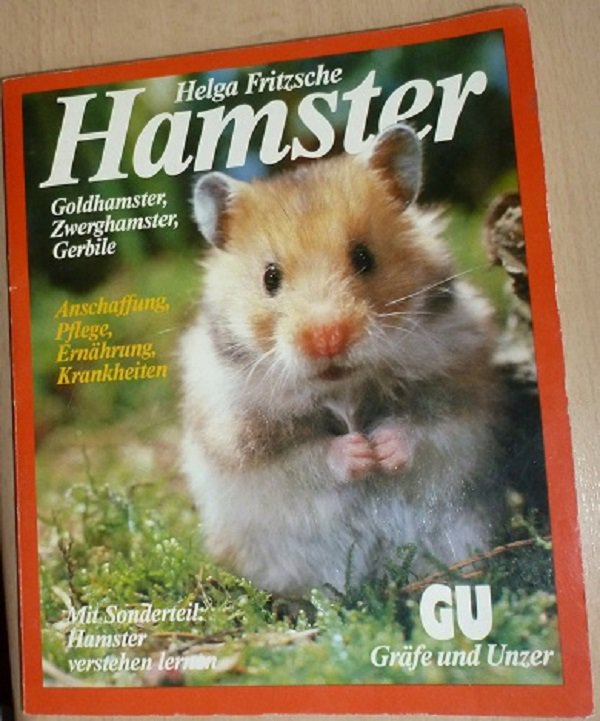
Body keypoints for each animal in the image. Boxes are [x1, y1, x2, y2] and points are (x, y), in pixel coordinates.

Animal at [180, 123, 502, 597]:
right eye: (270, 277)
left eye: (364, 257)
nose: (327, 338)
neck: (342, 385)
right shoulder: (244, 435)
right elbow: (307, 458)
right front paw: (359, 453)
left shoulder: (460, 384)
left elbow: (425, 426)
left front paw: (381, 449)